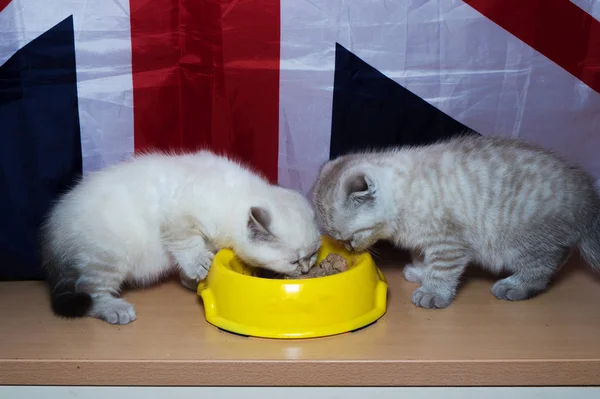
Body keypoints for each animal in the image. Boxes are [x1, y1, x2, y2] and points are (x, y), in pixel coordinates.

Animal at [41, 151, 324, 324]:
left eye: (313, 255)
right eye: (293, 261)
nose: (305, 269)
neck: (237, 198)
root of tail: (52, 231)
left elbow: (187, 258)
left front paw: (192, 279)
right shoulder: (179, 219)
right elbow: (188, 246)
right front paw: (199, 267)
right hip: (108, 256)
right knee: (92, 292)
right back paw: (116, 309)